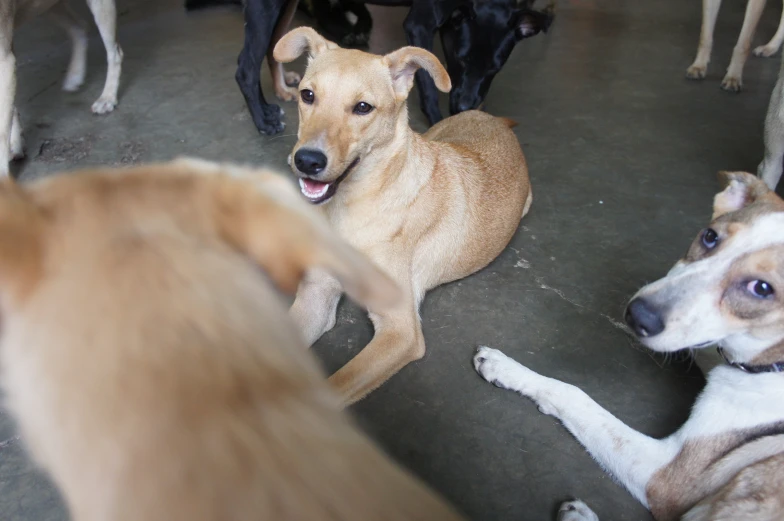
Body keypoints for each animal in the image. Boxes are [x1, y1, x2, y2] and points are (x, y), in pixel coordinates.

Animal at [0, 0, 122, 177]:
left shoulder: (5, 61)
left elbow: (2, 130)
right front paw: (16, 145)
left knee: (114, 53)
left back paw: (107, 98)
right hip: (48, 7)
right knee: (79, 26)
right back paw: (75, 75)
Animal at [237, 0, 552, 134]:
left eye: (494, 69)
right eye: (460, 58)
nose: (463, 107)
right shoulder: (419, 23)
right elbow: (428, 87)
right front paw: (440, 122)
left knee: (274, 44)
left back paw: (281, 90)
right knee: (246, 66)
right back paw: (263, 120)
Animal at [272, 28, 536, 406]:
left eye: (363, 107)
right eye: (307, 95)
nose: (307, 160)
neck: (352, 209)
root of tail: (494, 119)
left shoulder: (400, 331)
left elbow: (332, 390)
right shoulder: (315, 297)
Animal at [474, 173, 784, 516]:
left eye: (762, 289)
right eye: (710, 237)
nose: (637, 315)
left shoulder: (666, 477)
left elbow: (574, 394)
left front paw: (508, 369)